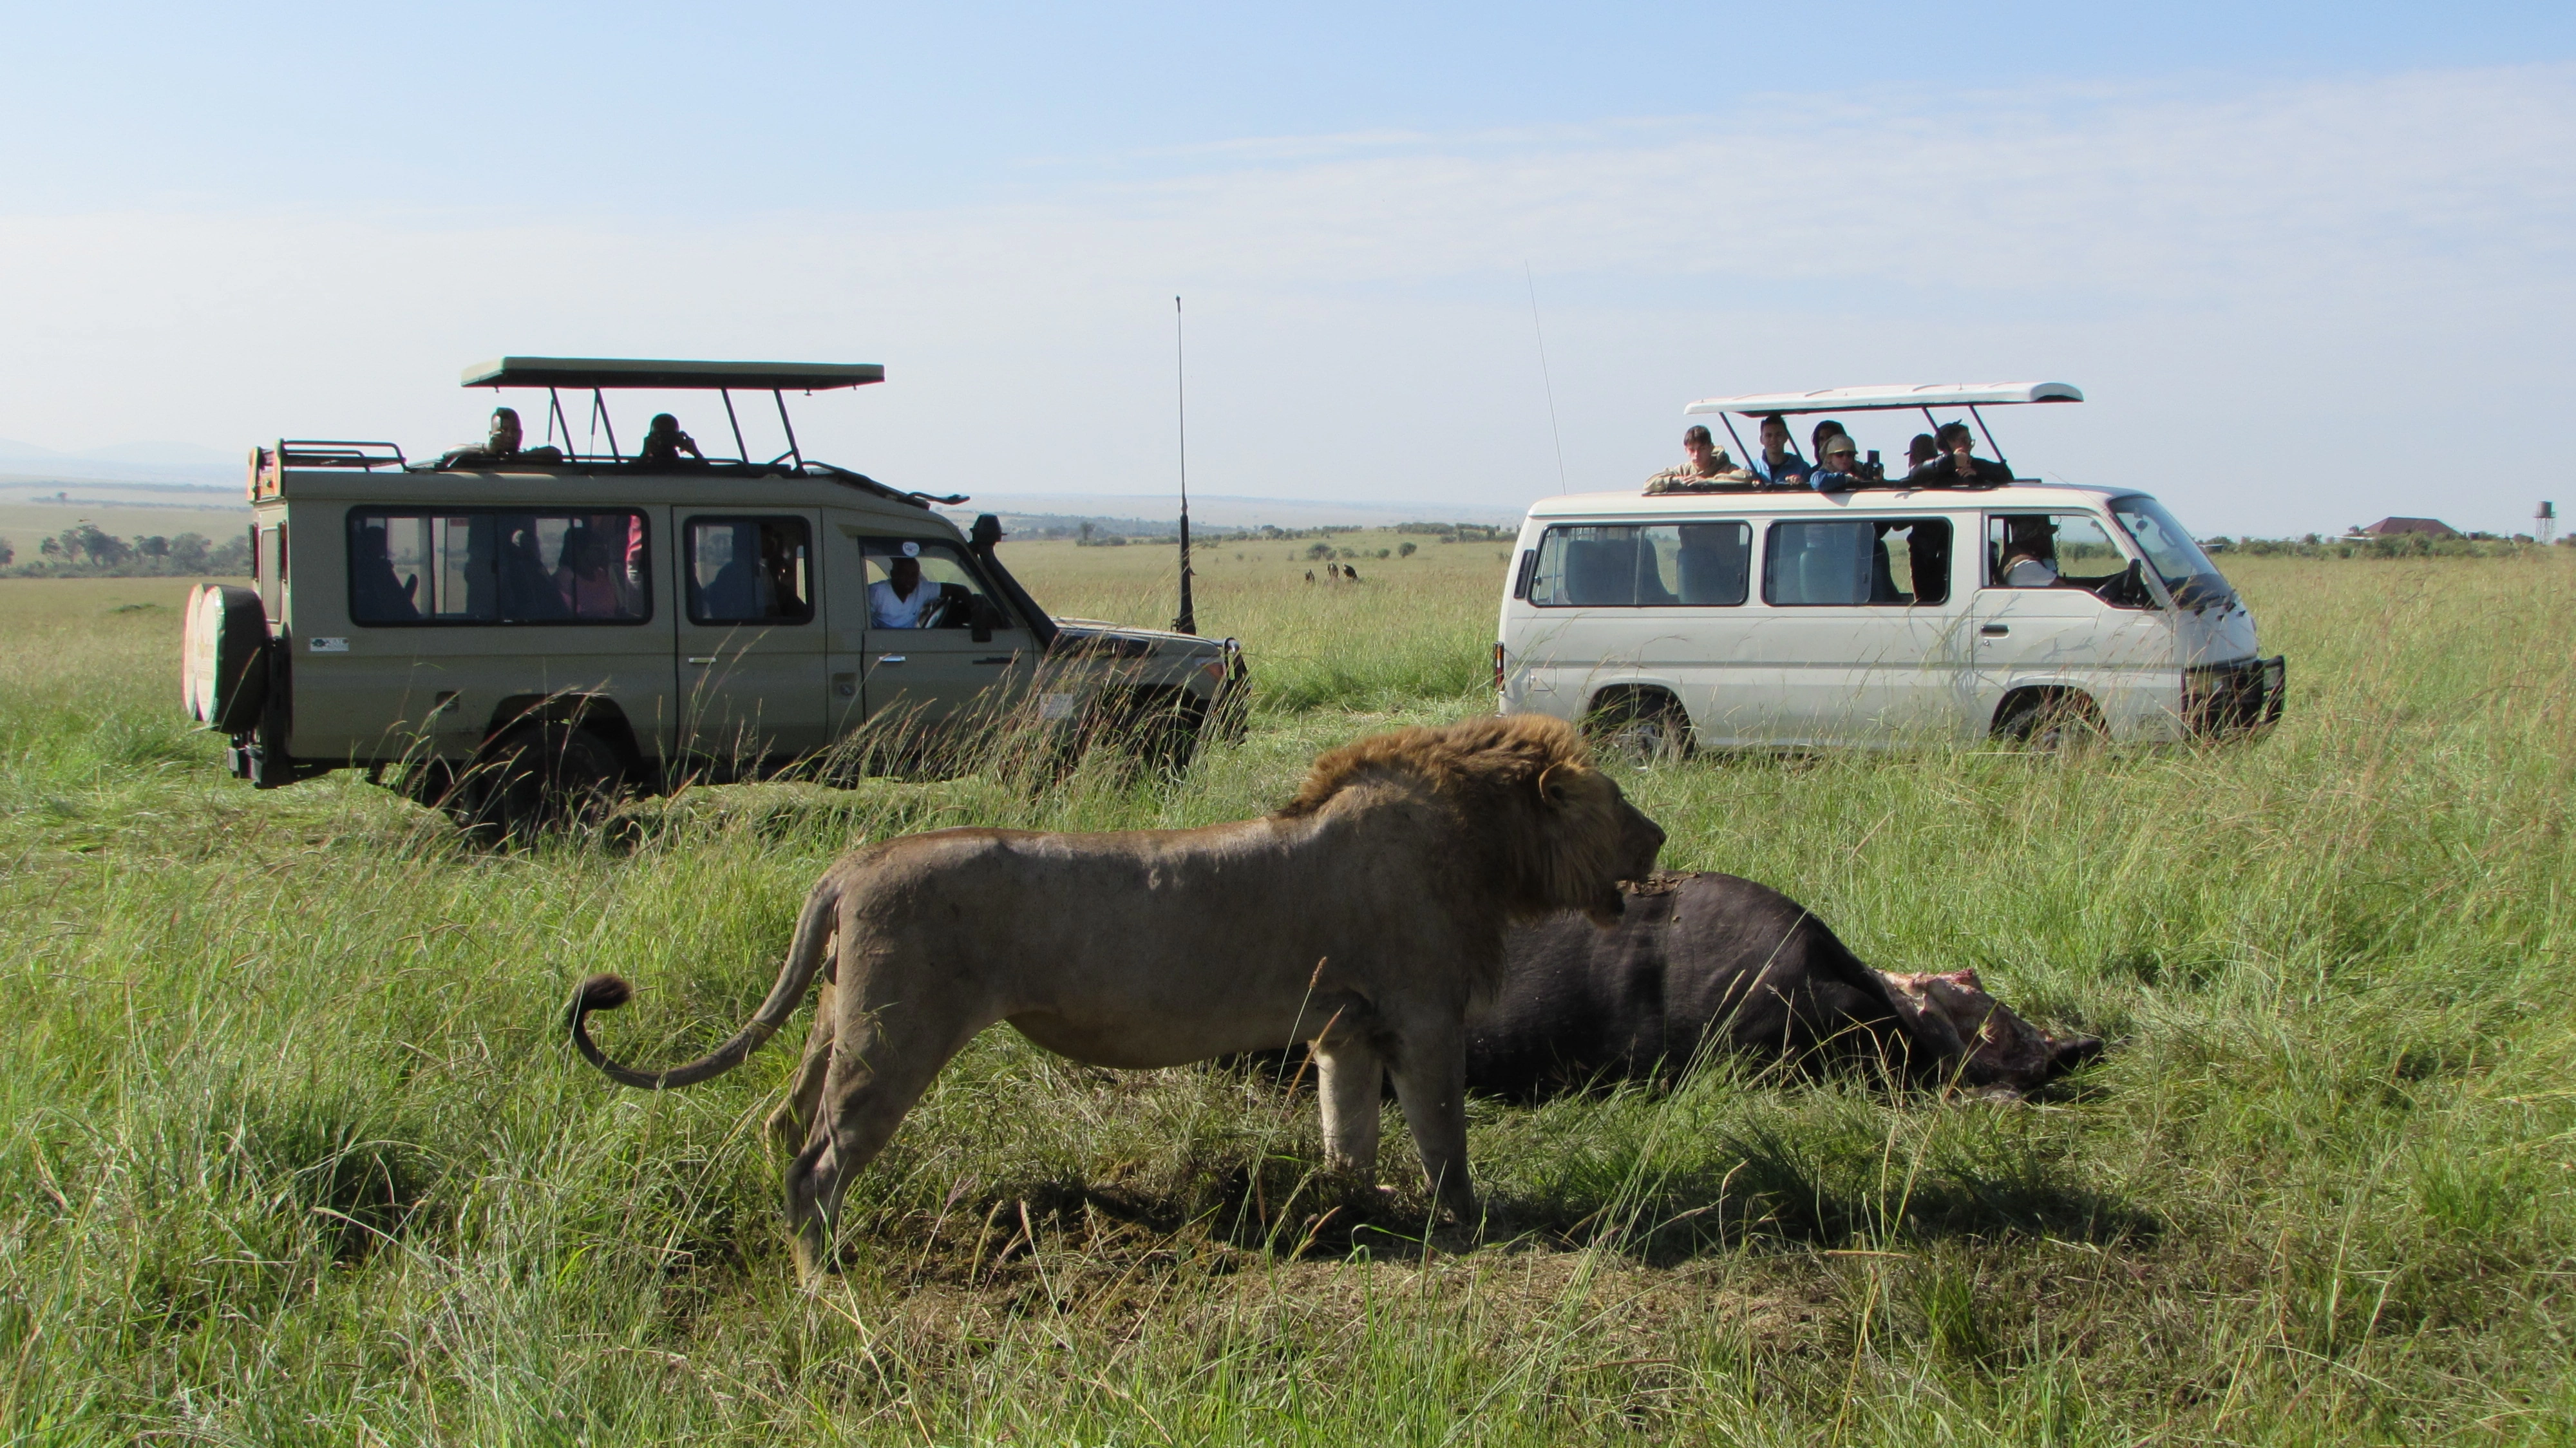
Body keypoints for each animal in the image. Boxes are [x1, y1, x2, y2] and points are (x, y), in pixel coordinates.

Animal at [569, 711, 1669, 1273]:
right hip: (896, 1034)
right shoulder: (1425, 1018)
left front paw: (1345, 1210)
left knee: (773, 1126)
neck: (1484, 840)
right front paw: (1469, 1228)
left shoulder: (1344, 1030)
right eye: (1616, 801)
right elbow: (1447, 1141)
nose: (1660, 837)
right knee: (816, 1164)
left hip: (840, 1017)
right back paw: (826, 1285)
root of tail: (851, 862)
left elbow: (1346, 1131)